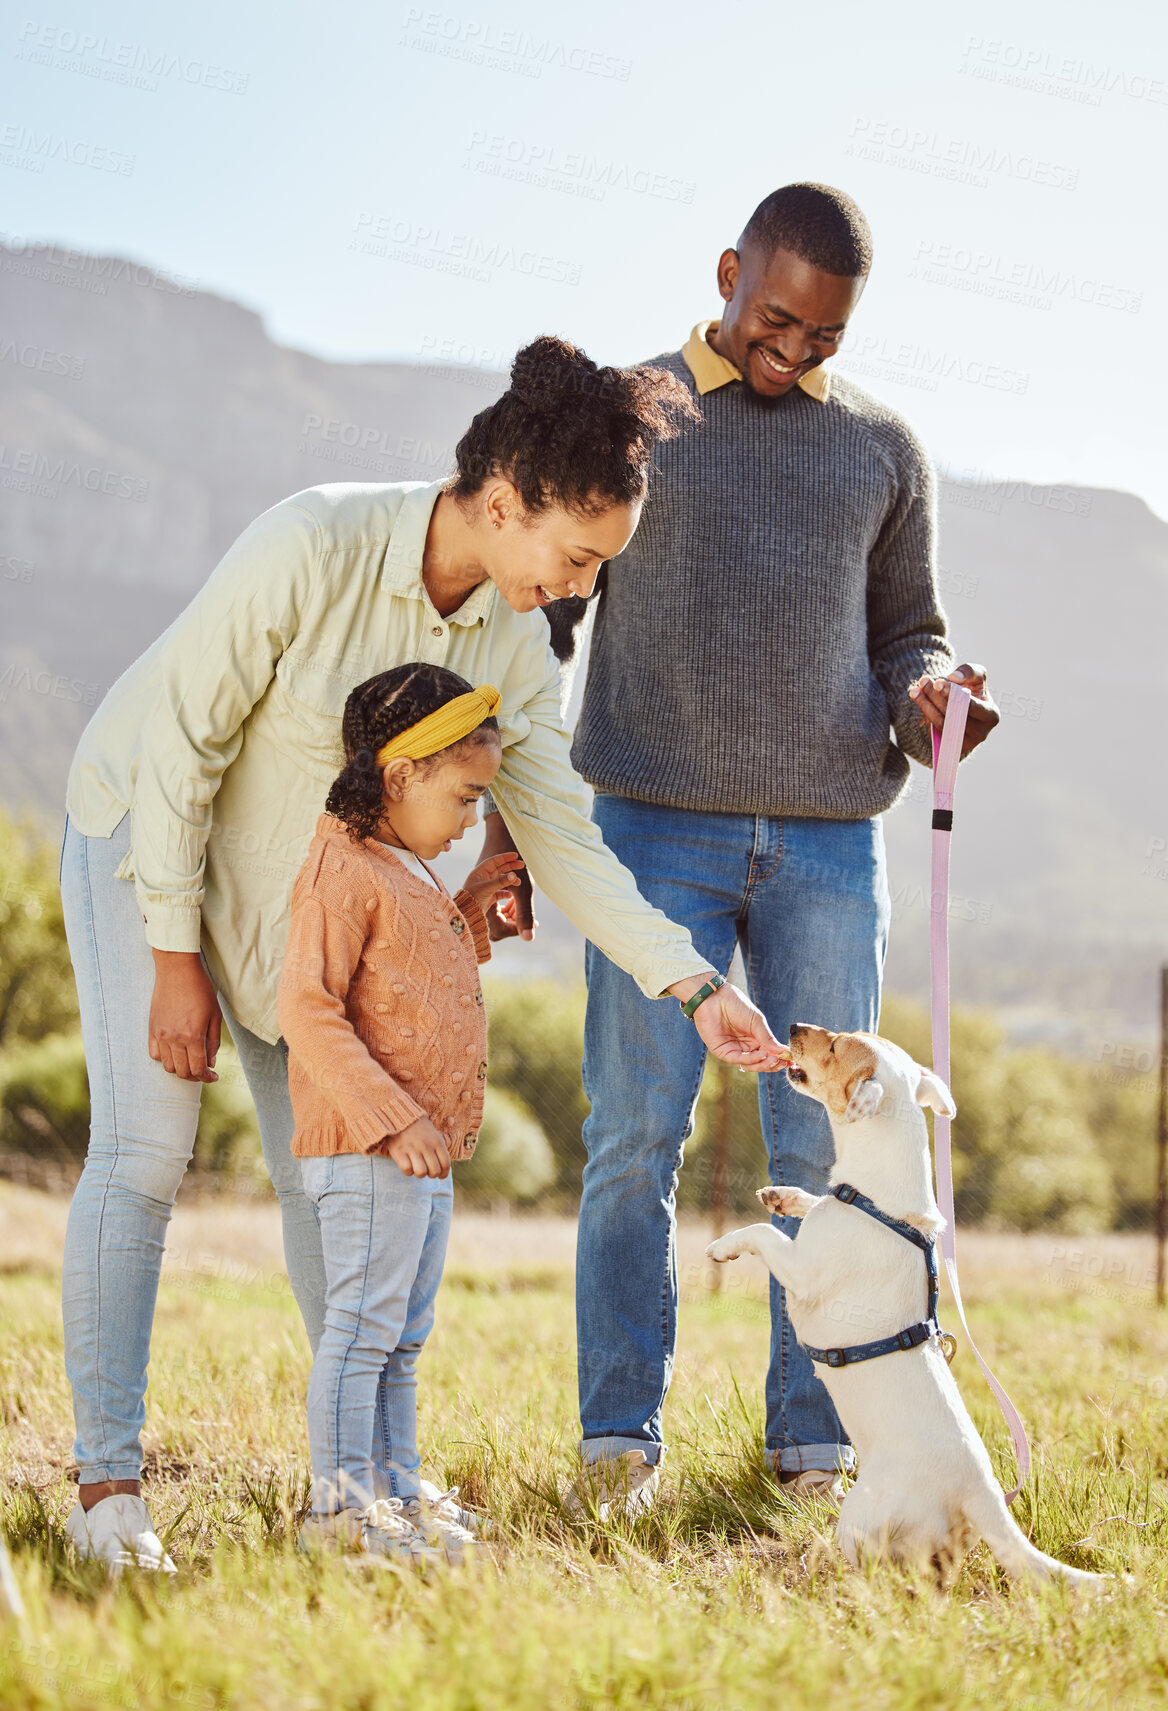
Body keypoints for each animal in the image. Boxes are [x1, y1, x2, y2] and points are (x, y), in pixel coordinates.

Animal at [707, 1012, 1101, 1587]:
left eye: (835, 1046)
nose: (795, 1024)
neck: (874, 1198)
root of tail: (983, 1496)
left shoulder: (802, 1272)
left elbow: (762, 1233)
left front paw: (723, 1246)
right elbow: (806, 1202)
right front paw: (784, 1195)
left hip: (862, 1515)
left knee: (881, 1572)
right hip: (935, 1544)